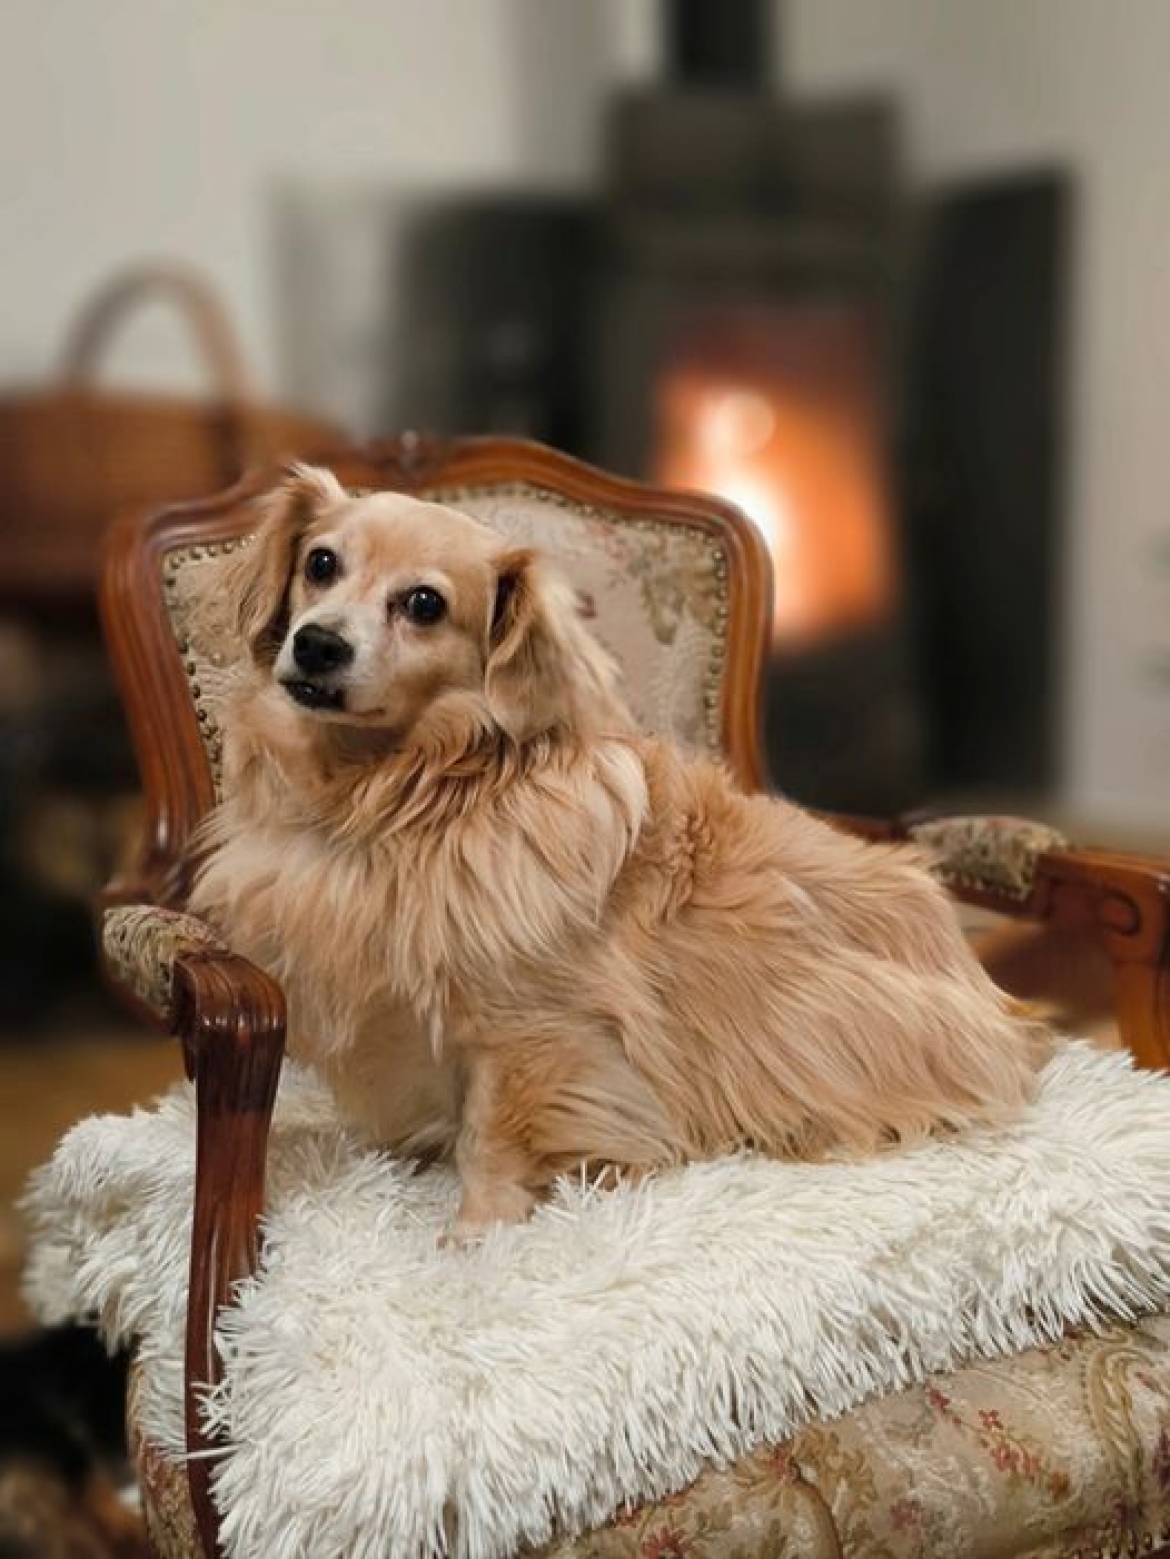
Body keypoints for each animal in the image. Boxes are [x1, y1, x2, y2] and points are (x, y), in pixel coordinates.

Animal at [192, 461, 1054, 1240]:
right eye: (320, 563)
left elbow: (492, 1137)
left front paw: (476, 1236)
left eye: (426, 604)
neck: (397, 799)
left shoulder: (528, 1034)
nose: (317, 644)